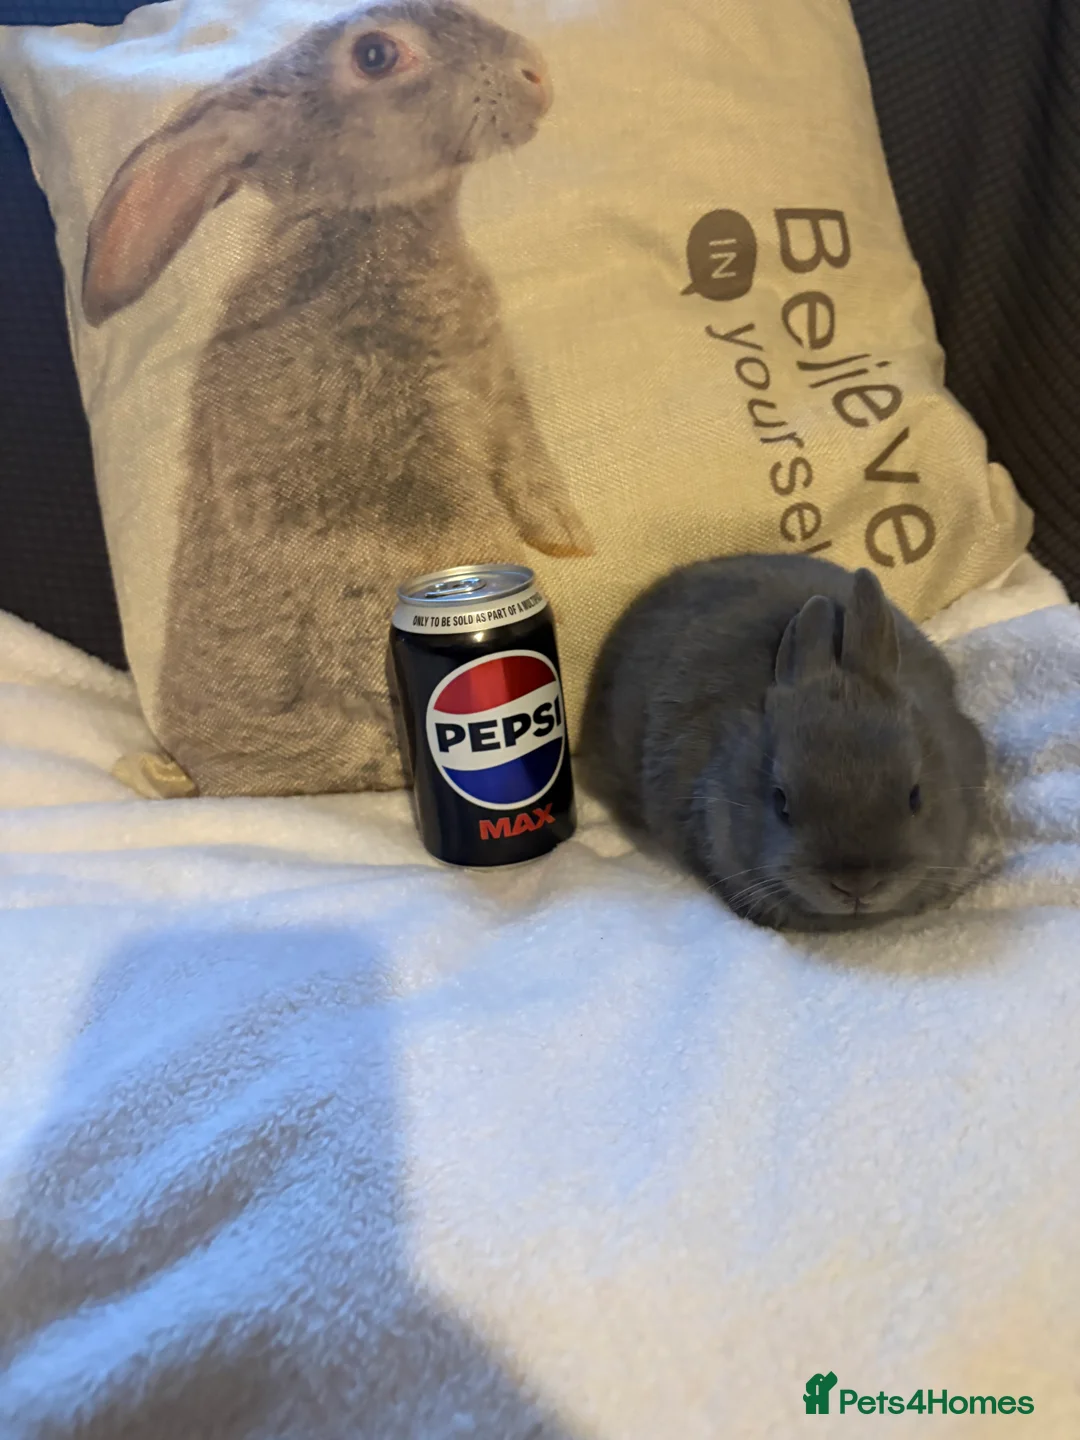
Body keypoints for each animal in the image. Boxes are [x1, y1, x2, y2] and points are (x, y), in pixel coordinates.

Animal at [81, 0, 593, 797]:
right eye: (376, 56)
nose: (535, 73)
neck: (372, 227)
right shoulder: (405, 458)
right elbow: (469, 539)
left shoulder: (501, 405)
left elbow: (534, 484)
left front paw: (573, 542)